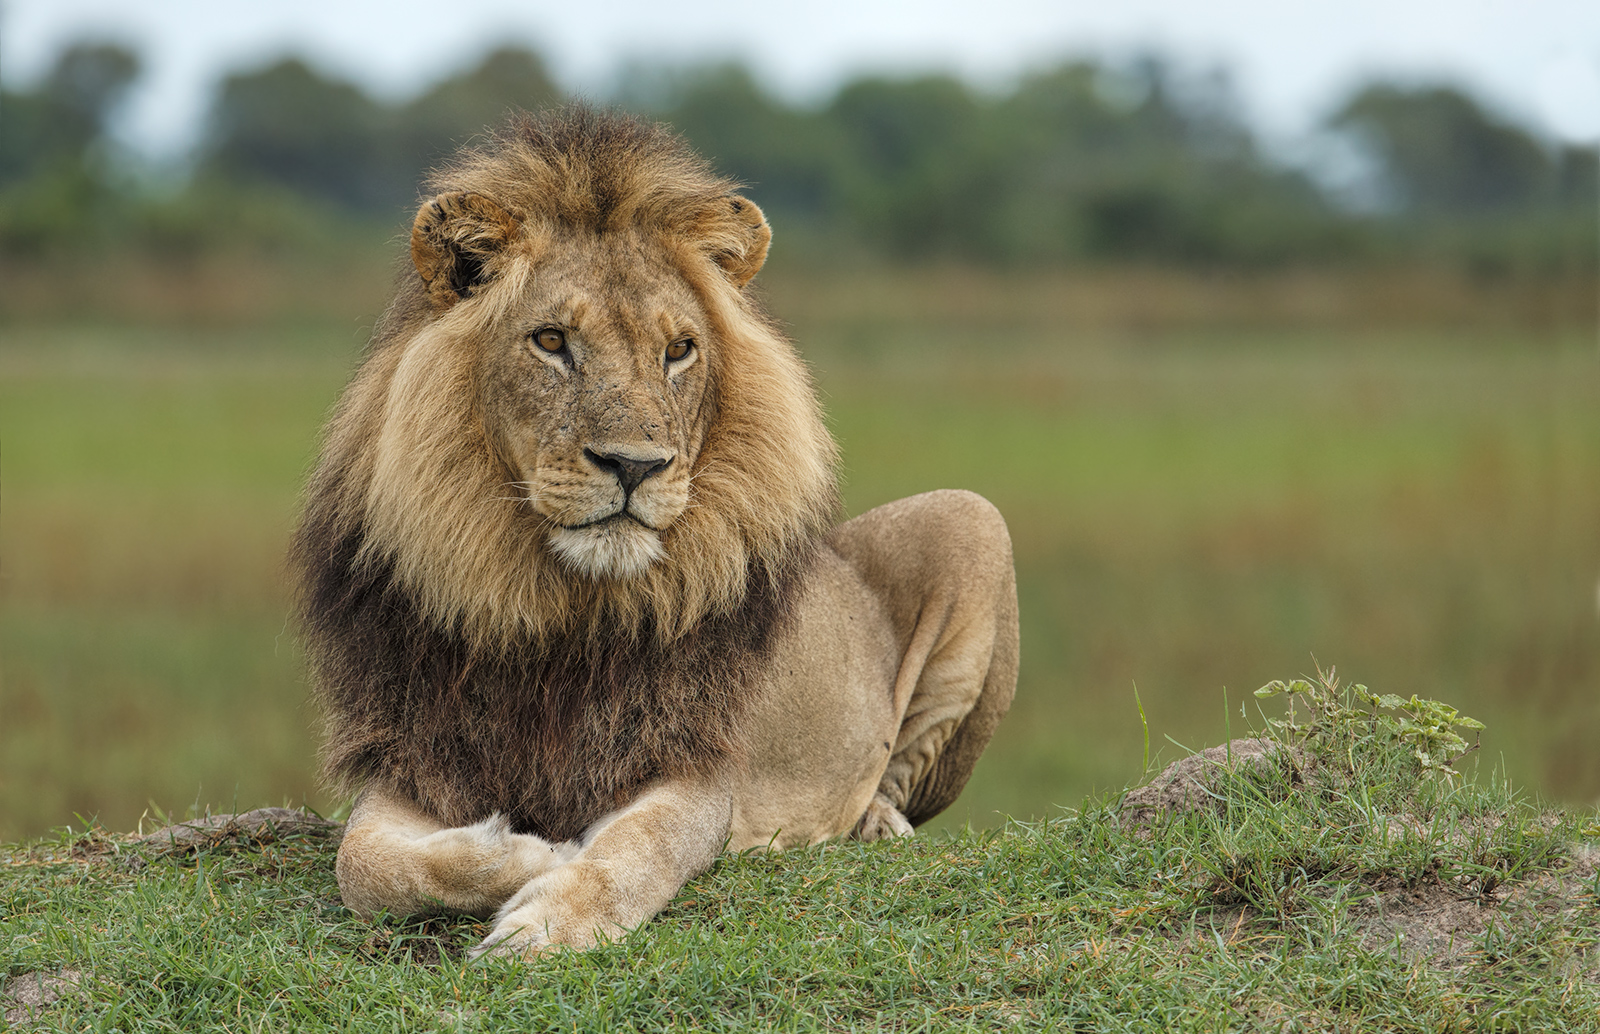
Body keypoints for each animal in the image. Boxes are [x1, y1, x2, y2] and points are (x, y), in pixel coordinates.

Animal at [291, 106, 1019, 956]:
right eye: (551, 341)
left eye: (679, 350)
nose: (634, 466)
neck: (557, 607)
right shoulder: (417, 757)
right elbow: (367, 867)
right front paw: (525, 853)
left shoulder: (698, 766)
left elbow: (639, 848)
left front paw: (551, 919)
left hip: (974, 517)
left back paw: (873, 822)